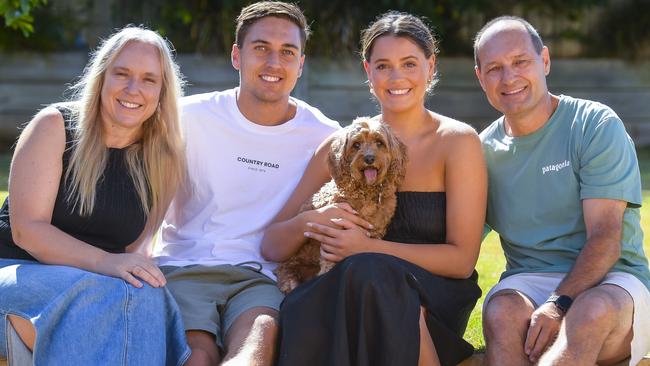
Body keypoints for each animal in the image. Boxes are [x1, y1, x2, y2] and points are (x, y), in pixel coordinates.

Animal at [272, 117, 404, 294]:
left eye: (379, 142)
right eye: (356, 144)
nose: (369, 158)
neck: (366, 191)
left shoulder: (374, 233)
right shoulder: (331, 236)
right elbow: (328, 264)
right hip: (292, 261)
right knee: (285, 271)